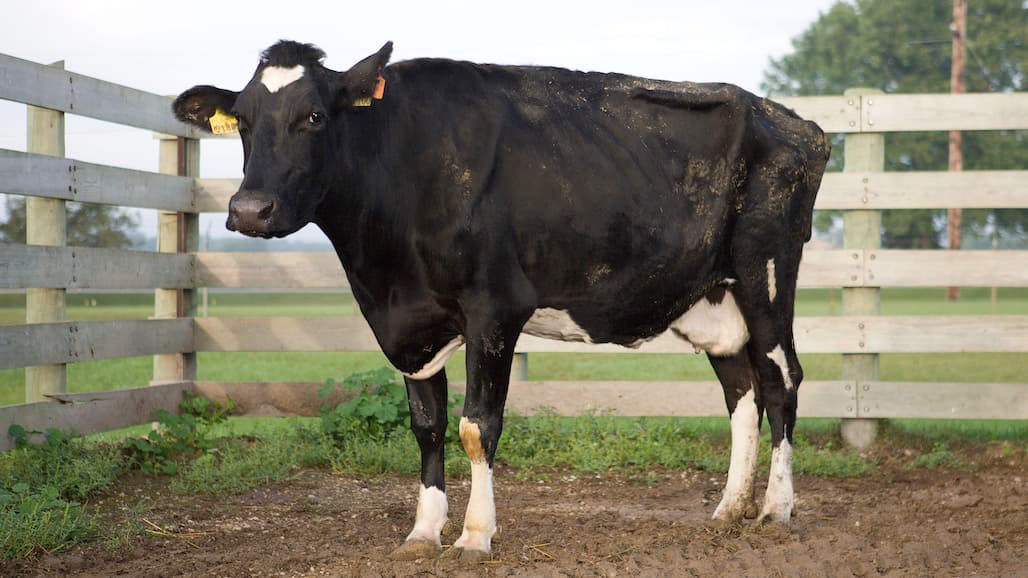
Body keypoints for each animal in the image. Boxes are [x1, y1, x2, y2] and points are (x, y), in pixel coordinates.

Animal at [174, 40, 830, 561]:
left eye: (313, 115)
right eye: (246, 119)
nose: (249, 209)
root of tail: (797, 124)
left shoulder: (494, 310)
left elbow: (476, 425)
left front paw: (474, 536)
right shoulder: (411, 325)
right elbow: (427, 426)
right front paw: (423, 532)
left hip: (767, 271)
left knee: (781, 381)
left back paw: (775, 511)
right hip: (714, 297)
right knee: (741, 390)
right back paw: (728, 510)